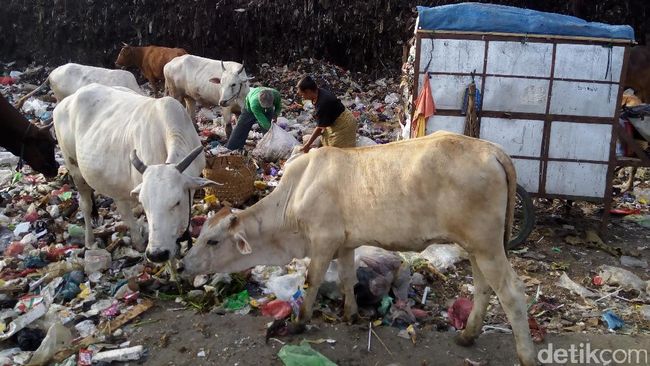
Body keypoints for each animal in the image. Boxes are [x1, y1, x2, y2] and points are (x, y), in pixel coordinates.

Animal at [53, 84, 215, 262]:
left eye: (177, 202)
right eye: (144, 203)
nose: (156, 255)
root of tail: (66, 102)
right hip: (75, 170)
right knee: (87, 205)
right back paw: (92, 241)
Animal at [184, 132, 536, 366]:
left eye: (213, 240)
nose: (185, 262)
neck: (293, 199)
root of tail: (492, 150)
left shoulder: (322, 242)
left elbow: (311, 282)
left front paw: (299, 322)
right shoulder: (345, 243)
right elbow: (346, 278)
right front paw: (351, 314)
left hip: (488, 247)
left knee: (512, 293)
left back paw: (526, 355)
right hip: (479, 247)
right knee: (484, 289)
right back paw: (467, 335)